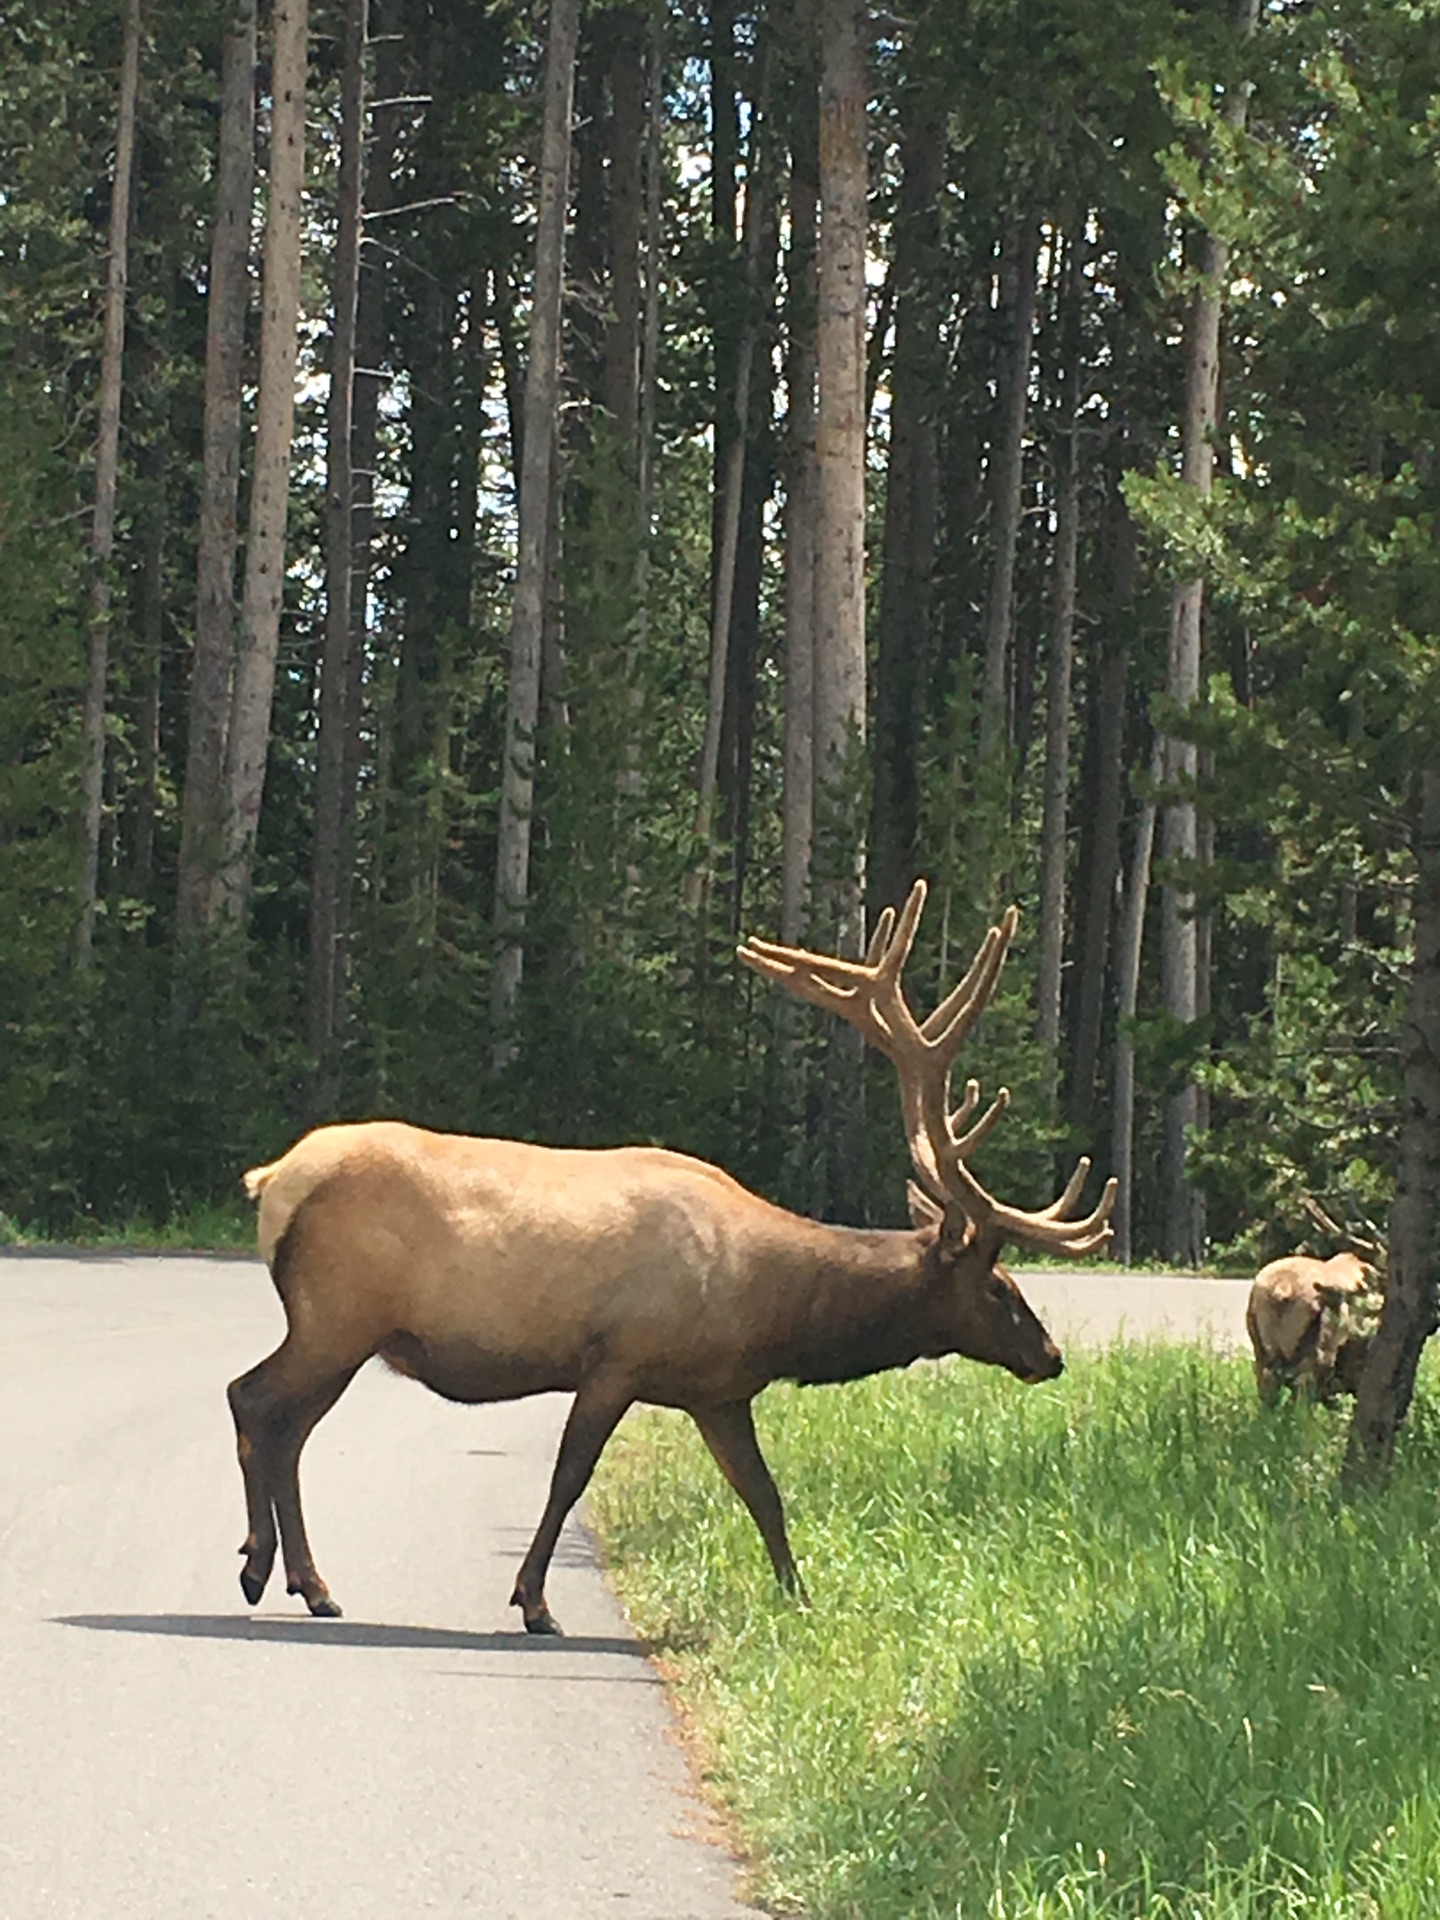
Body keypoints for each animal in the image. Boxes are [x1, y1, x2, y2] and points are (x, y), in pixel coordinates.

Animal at [231, 883, 1121, 1635]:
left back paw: (304, 1580)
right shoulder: (619, 1356)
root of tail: (272, 1179)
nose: (1051, 1354)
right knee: (253, 1399)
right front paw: (534, 1602)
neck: (773, 1307)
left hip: (350, 1334)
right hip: (337, 1314)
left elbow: (764, 1495)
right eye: (1001, 1287)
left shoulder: (718, 1392)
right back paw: (264, 1569)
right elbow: (569, 1476)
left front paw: (801, 1601)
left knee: (287, 1426)